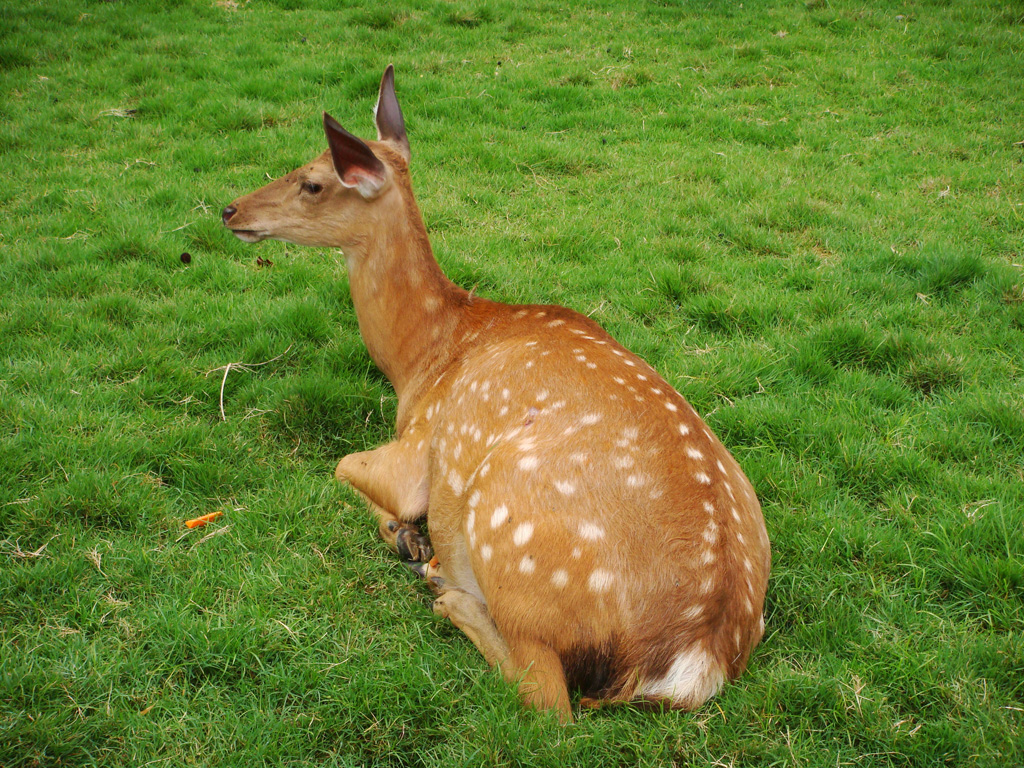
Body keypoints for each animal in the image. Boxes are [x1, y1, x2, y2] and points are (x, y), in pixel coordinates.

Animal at [222, 64, 770, 720]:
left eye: (312, 181)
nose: (228, 209)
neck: (423, 360)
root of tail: (694, 658)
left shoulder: (418, 446)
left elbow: (342, 465)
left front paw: (404, 535)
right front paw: (406, 537)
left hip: (509, 530)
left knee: (547, 697)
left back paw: (446, 587)